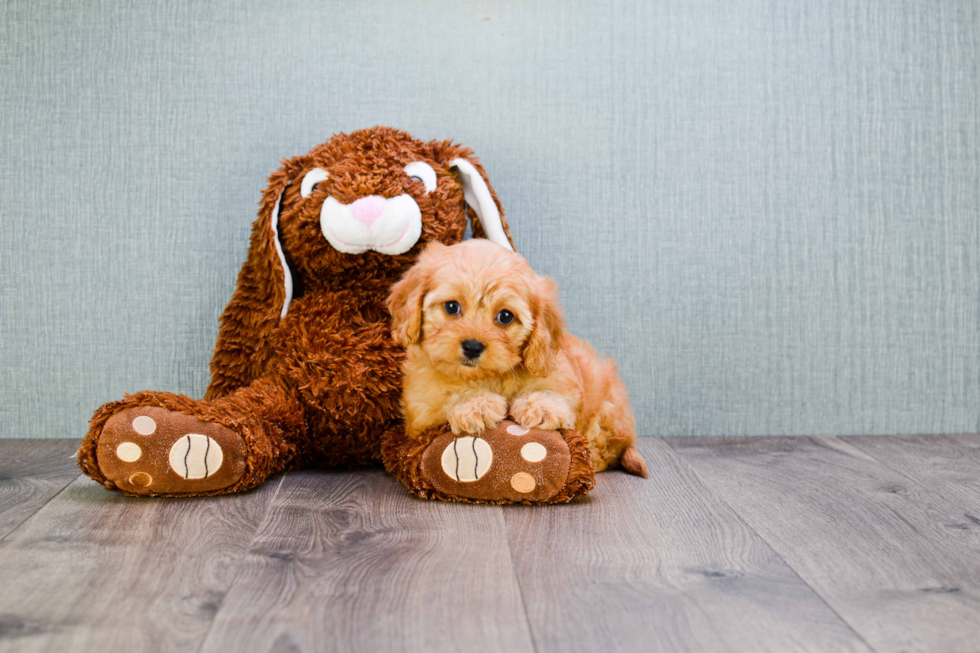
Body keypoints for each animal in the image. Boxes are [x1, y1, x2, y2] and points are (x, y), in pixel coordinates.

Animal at [386, 238, 648, 474]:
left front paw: (541, 407)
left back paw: (593, 458)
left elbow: (555, 393)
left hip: (608, 404)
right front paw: (475, 404)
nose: (472, 346)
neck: (489, 376)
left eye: (505, 316)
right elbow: (445, 398)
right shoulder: (420, 411)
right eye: (451, 307)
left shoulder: (560, 374)